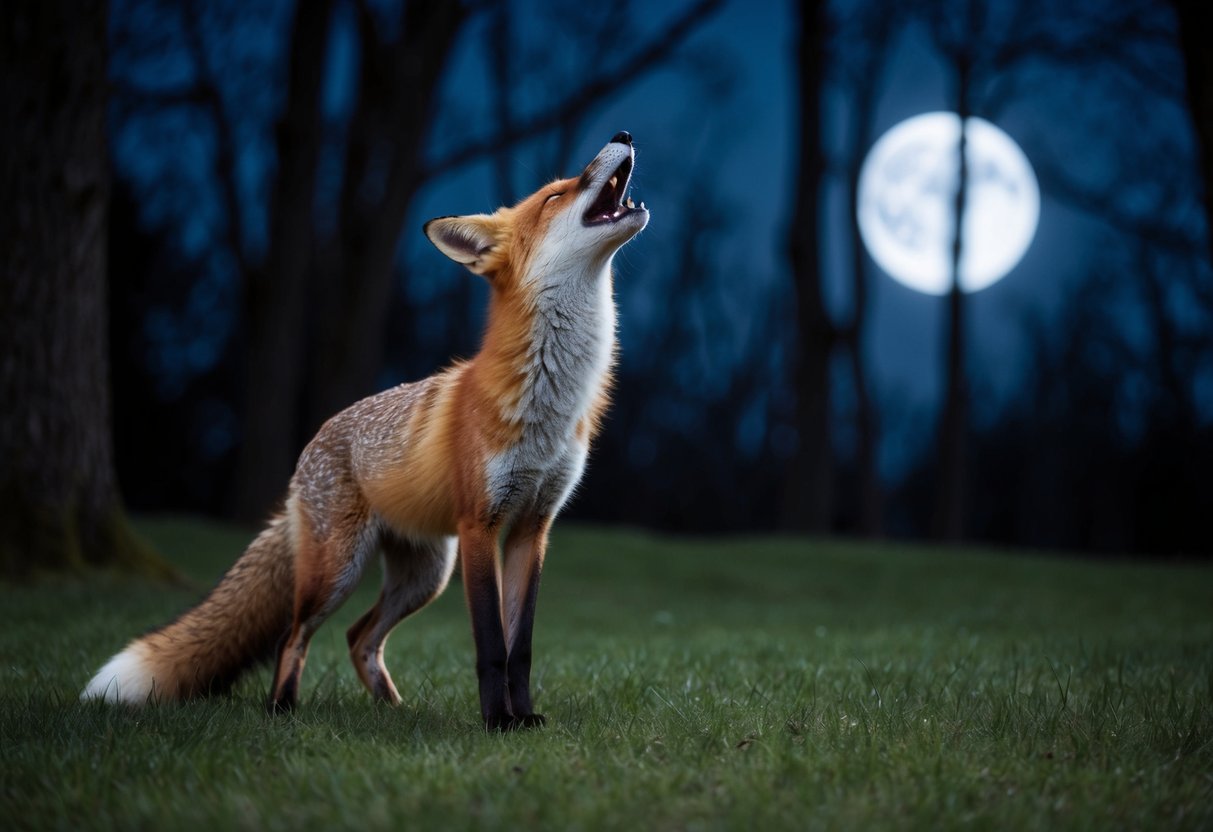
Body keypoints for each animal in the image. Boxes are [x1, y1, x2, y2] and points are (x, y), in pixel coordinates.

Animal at [82, 132, 648, 730]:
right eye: (556, 195)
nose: (623, 136)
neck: (552, 403)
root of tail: (314, 443)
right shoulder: (481, 524)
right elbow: (492, 645)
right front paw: (497, 722)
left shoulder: (531, 528)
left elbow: (522, 647)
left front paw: (523, 719)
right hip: (340, 571)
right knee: (293, 636)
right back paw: (282, 710)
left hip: (424, 575)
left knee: (359, 637)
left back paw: (395, 710)